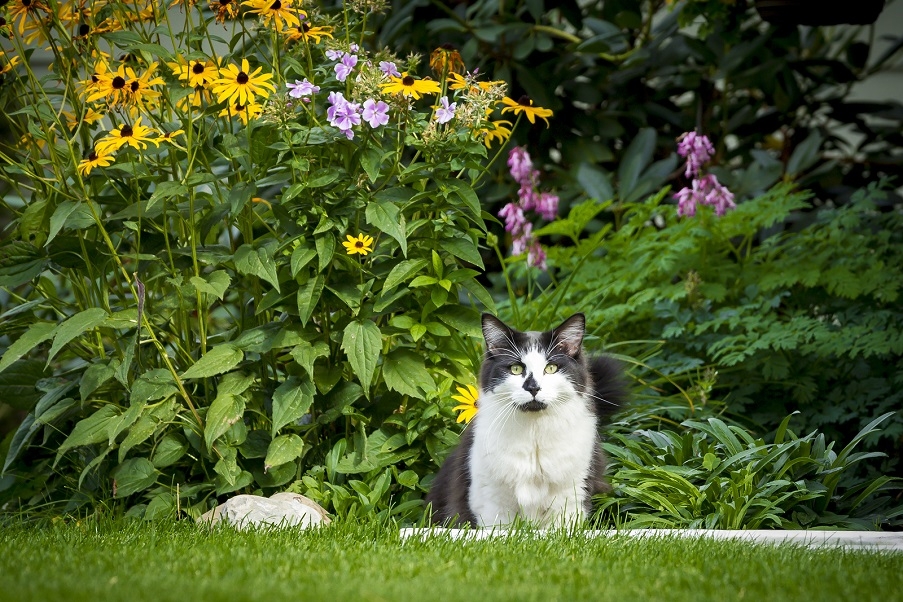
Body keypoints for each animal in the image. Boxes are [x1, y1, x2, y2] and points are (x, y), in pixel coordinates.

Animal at [426, 310, 628, 524]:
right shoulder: (493, 504)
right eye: (516, 369)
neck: (534, 434)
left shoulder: (570, 498)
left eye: (551, 368)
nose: (533, 387)